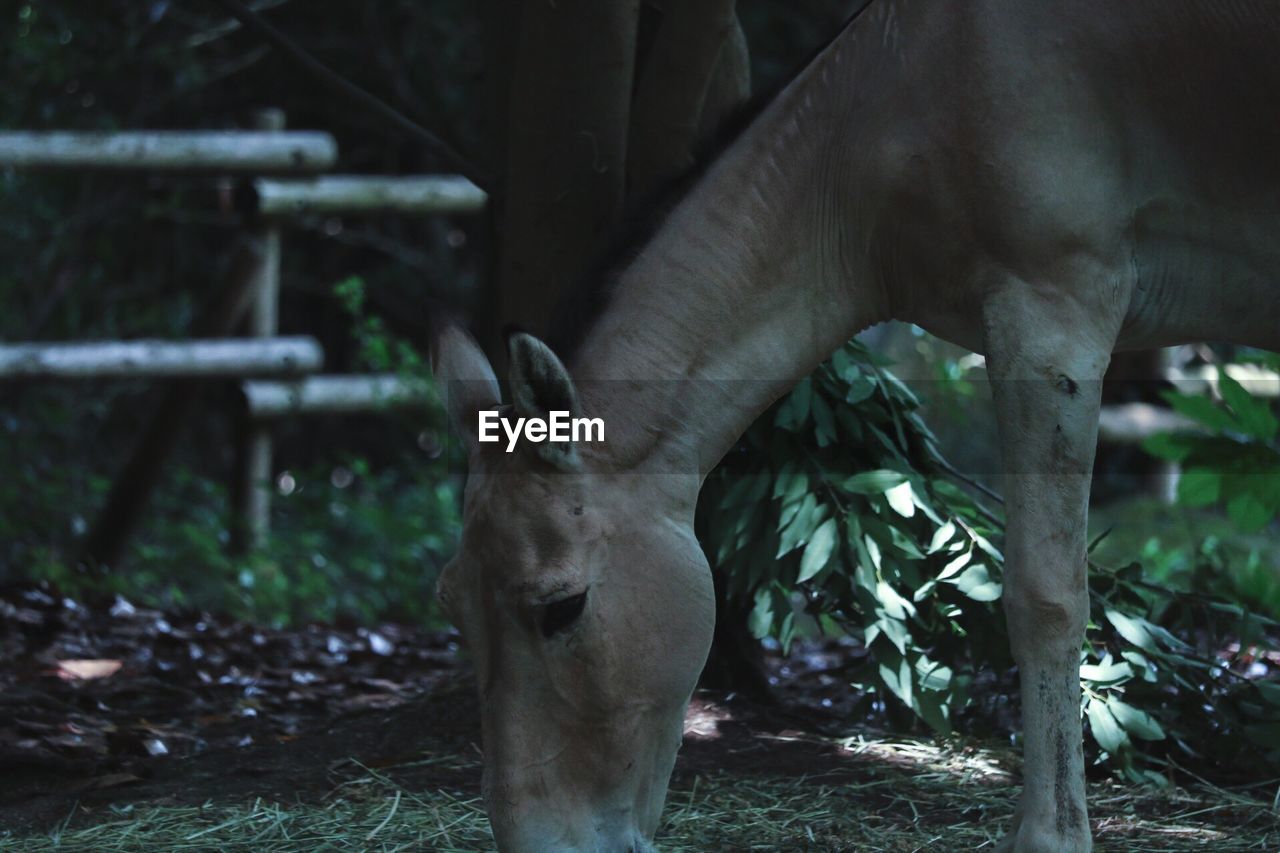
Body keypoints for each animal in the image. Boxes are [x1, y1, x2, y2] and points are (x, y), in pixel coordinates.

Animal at [432, 3, 1280, 845]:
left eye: (562, 607)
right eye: (453, 602)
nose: (537, 840)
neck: (899, 90)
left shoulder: (1053, 313)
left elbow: (1046, 596)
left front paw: (1050, 835)